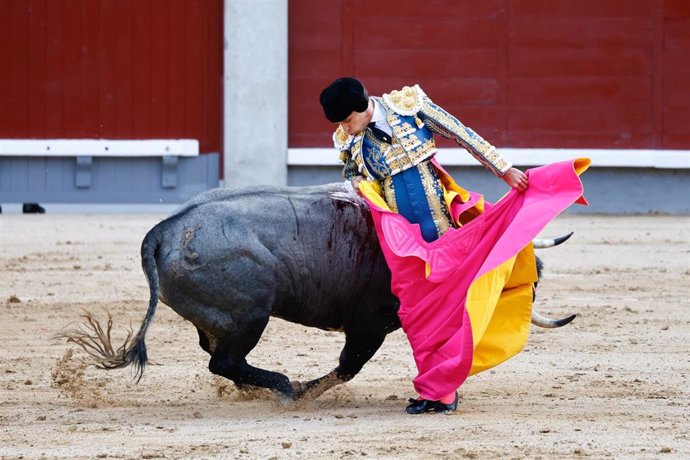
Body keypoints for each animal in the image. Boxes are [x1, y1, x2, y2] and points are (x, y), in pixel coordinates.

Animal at [61, 181, 572, 400]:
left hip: (225, 318)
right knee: (223, 360)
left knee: (218, 356)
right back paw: (284, 386)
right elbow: (349, 366)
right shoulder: (370, 323)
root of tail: (165, 230)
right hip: (252, 315)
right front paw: (308, 389)